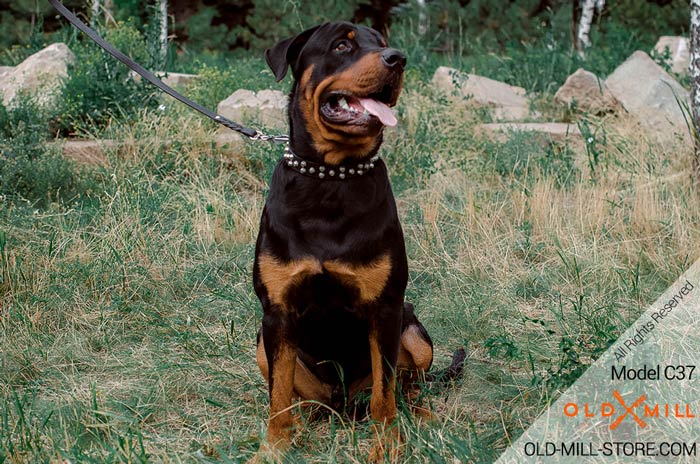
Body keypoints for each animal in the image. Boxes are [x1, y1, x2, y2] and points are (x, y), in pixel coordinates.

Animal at [254, 20, 440, 460]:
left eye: (383, 44)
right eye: (342, 45)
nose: (398, 59)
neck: (331, 178)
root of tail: (340, 402)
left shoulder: (386, 309)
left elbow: (384, 397)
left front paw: (386, 447)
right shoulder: (277, 311)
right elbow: (278, 396)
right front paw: (273, 448)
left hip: (414, 331)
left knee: (407, 387)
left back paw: (420, 414)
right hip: (259, 343)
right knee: (296, 395)